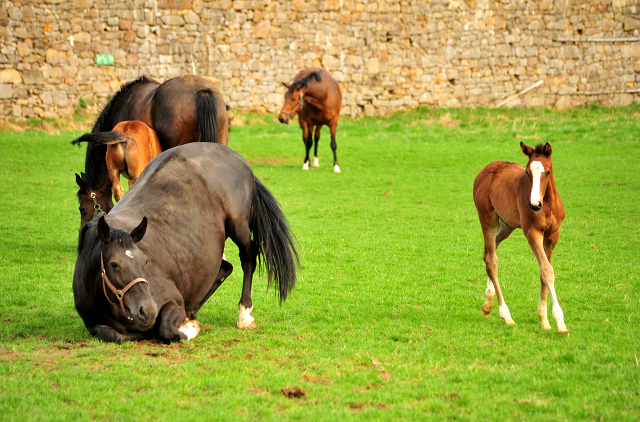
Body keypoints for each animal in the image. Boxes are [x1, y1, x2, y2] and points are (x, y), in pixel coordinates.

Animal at [72, 143, 298, 344]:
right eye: (114, 264)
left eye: (145, 262)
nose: (148, 309)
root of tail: (236, 158)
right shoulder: (93, 323)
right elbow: (109, 333)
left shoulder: (170, 300)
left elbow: (166, 330)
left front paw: (190, 328)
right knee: (224, 267)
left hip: (239, 227)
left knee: (248, 258)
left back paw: (244, 315)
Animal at [470, 143, 568, 334]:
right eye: (527, 172)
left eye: (548, 171)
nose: (534, 204)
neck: (547, 205)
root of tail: (486, 169)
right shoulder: (532, 233)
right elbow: (547, 271)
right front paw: (560, 322)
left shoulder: (552, 235)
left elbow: (544, 271)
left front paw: (544, 320)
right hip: (488, 219)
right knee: (492, 261)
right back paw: (506, 315)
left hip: (507, 225)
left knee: (489, 253)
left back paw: (487, 304)